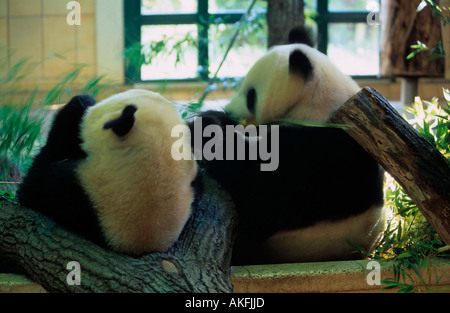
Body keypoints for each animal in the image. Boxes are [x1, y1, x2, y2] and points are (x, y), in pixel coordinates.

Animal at [191, 26, 386, 264]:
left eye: (251, 95)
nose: (230, 111)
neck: (322, 103)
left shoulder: (323, 155)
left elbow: (260, 192)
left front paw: (205, 127)